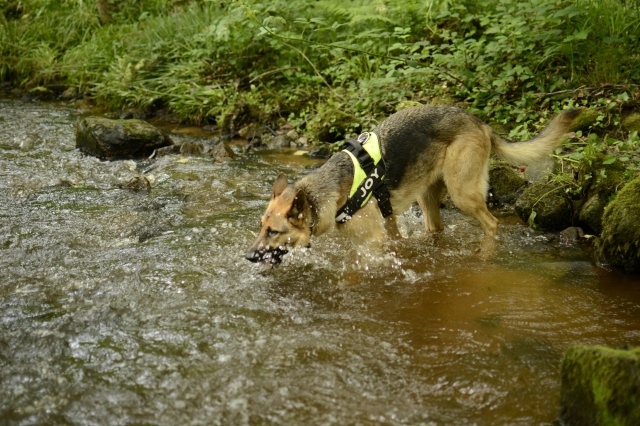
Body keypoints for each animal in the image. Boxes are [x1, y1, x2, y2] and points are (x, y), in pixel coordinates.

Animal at [246, 105, 580, 264]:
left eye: (273, 232)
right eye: (260, 227)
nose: (248, 257)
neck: (332, 191)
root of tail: (479, 122)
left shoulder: (374, 239)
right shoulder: (390, 222)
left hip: (462, 193)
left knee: (492, 223)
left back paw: (485, 255)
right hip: (426, 196)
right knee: (435, 229)